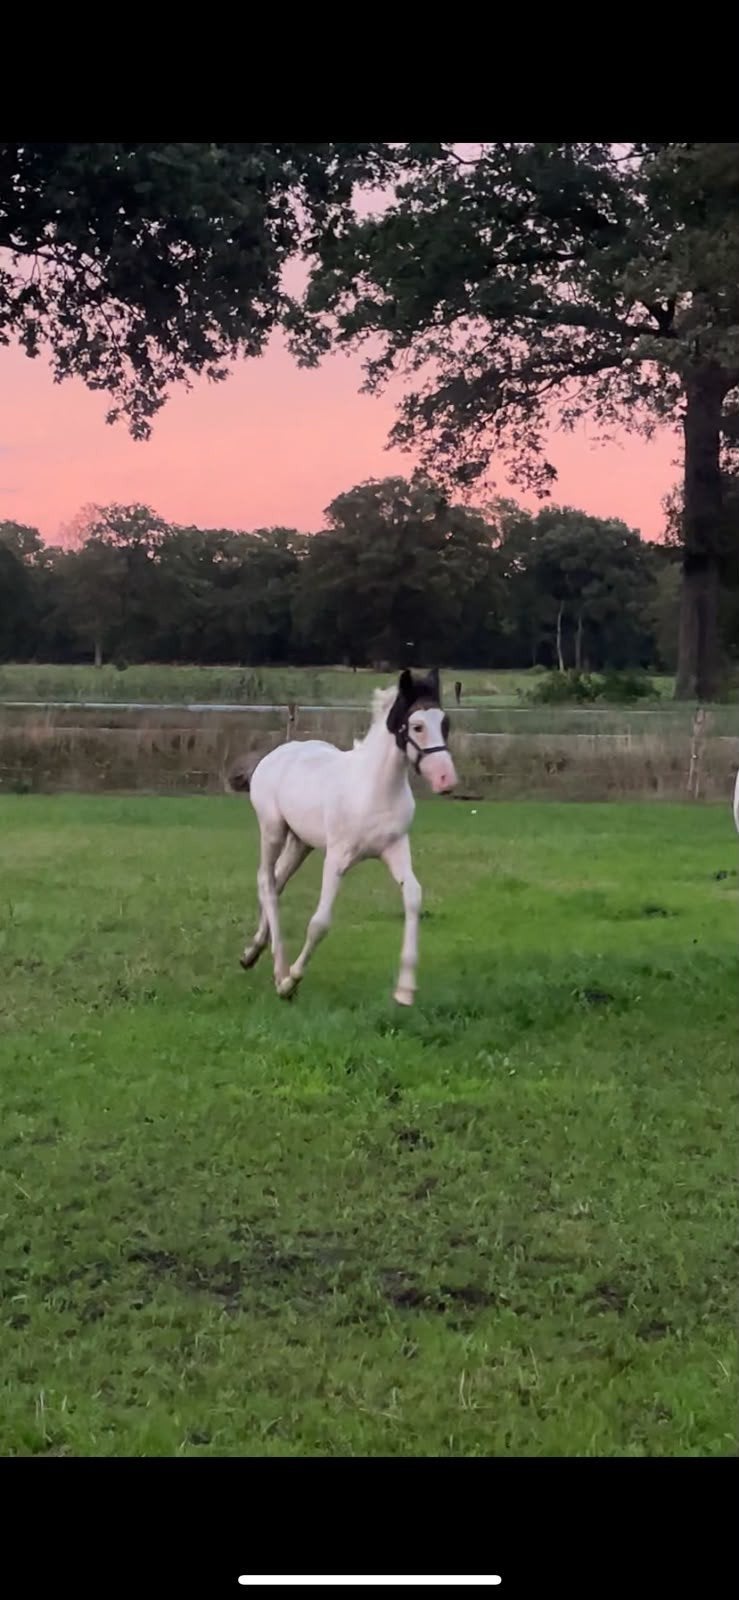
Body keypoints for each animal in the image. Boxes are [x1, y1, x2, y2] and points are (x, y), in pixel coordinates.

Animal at [229, 668, 458, 1005]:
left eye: (445, 723)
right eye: (417, 726)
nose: (447, 780)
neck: (374, 790)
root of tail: (276, 753)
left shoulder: (396, 848)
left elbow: (414, 898)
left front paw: (405, 989)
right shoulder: (336, 857)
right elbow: (320, 922)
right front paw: (291, 982)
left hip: (301, 842)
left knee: (278, 880)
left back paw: (252, 953)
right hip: (272, 829)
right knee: (267, 882)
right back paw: (279, 970)